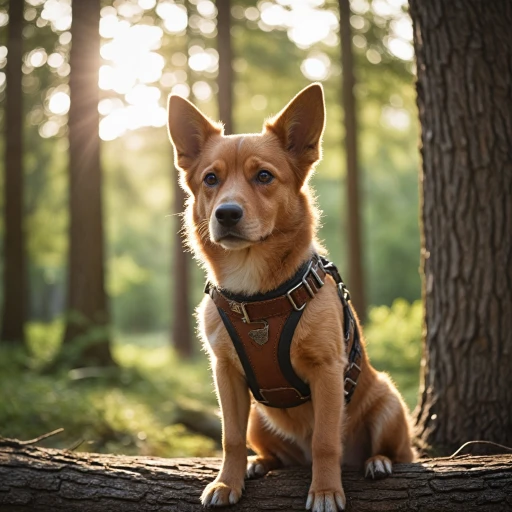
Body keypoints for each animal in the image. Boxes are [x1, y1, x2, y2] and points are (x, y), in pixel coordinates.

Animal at [168, 84, 416, 512]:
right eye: (211, 178)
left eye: (264, 176)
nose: (226, 214)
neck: (255, 295)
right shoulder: (225, 374)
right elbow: (229, 439)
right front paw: (227, 481)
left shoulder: (327, 372)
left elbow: (325, 441)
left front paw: (326, 490)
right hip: (258, 417)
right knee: (273, 454)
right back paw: (258, 464)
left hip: (388, 402)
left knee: (399, 452)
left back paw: (378, 461)